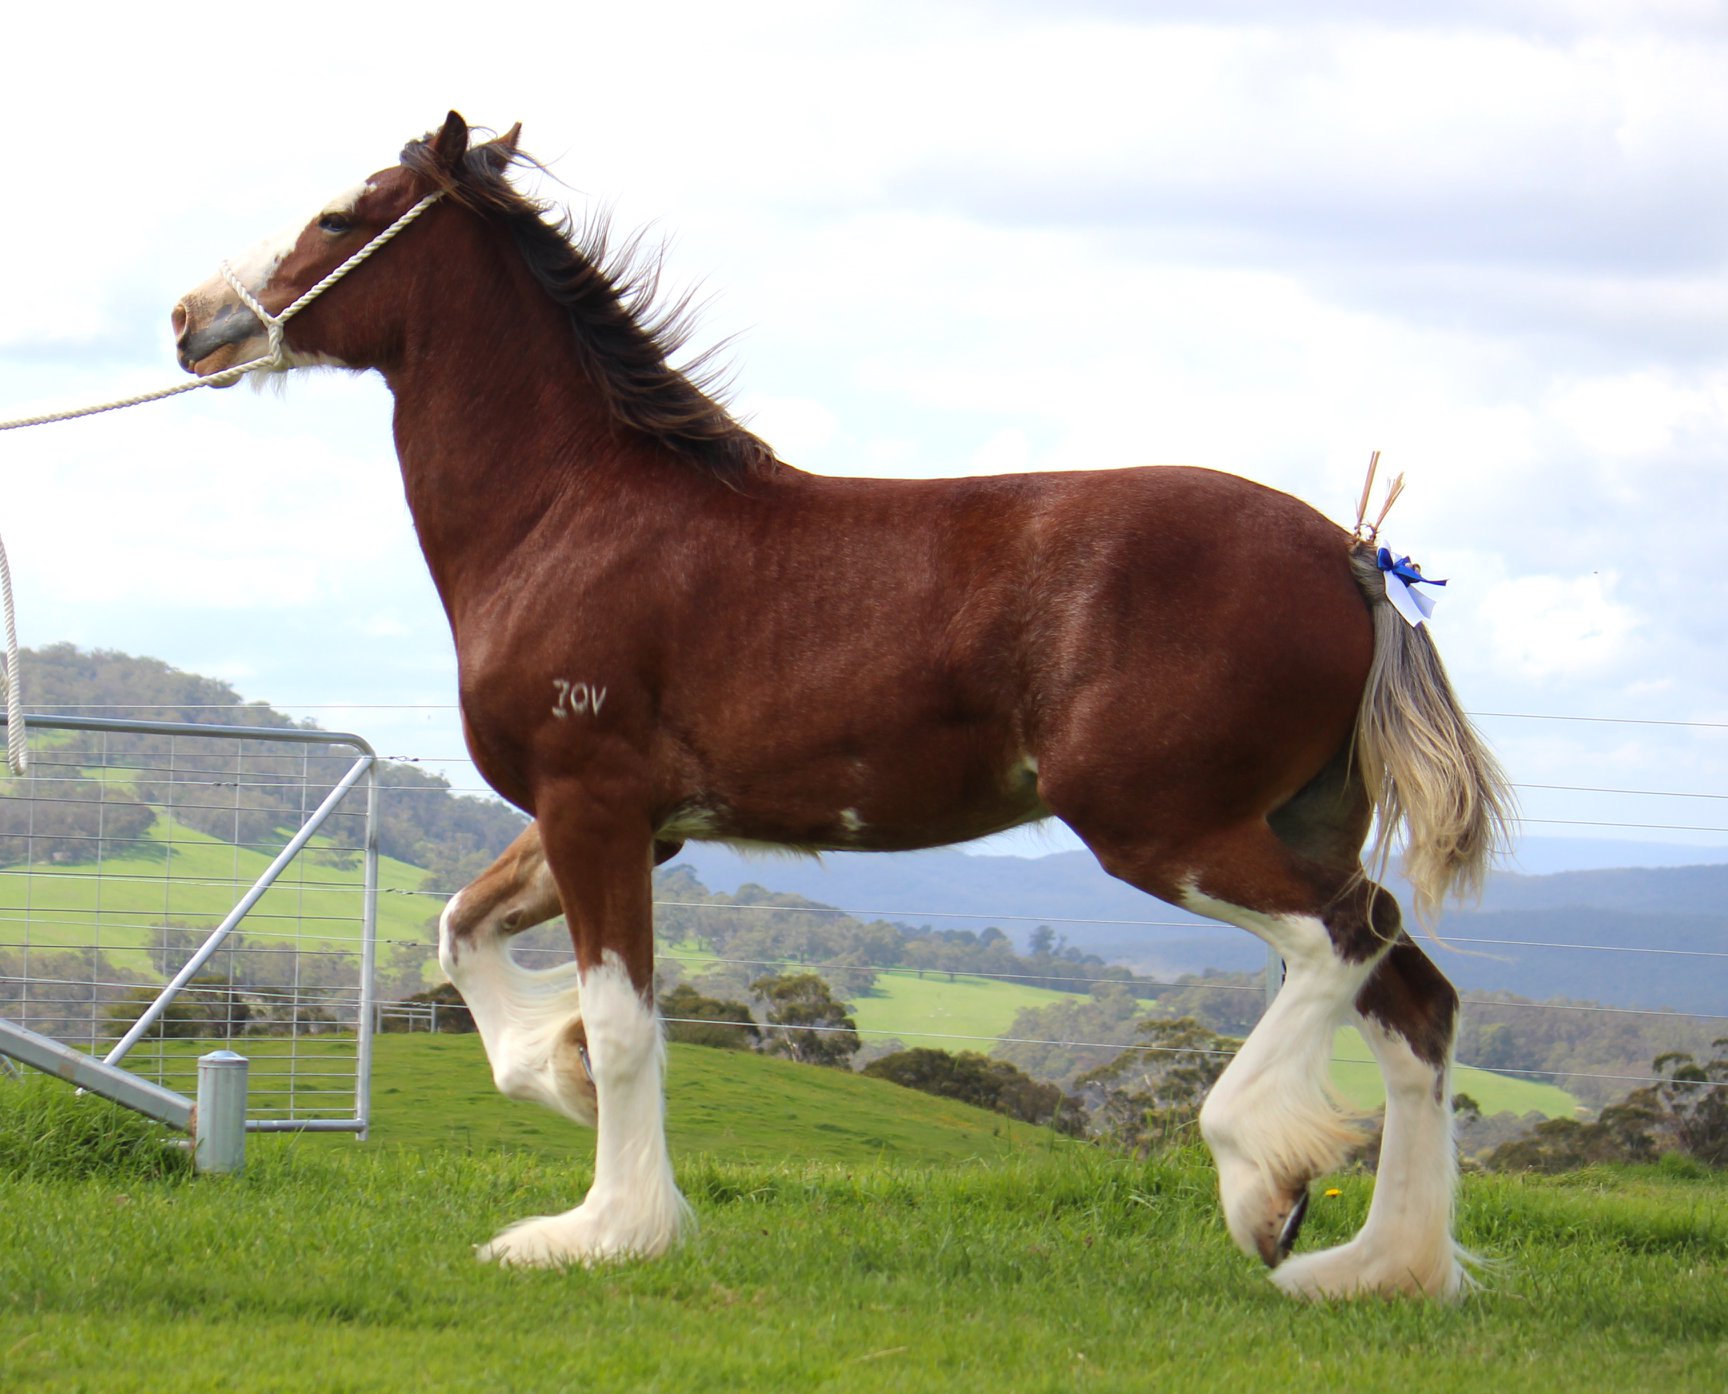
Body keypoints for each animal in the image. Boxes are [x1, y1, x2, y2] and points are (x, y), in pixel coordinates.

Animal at [168, 114, 1506, 1305]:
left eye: (341, 215)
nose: (193, 319)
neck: (570, 515)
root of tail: (1354, 557)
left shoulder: (593, 803)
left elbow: (624, 1022)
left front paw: (606, 1228)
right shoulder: (628, 821)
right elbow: (461, 929)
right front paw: (556, 1080)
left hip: (1164, 827)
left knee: (1347, 934)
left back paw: (1265, 1182)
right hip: (1293, 824)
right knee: (1413, 1003)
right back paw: (1385, 1268)